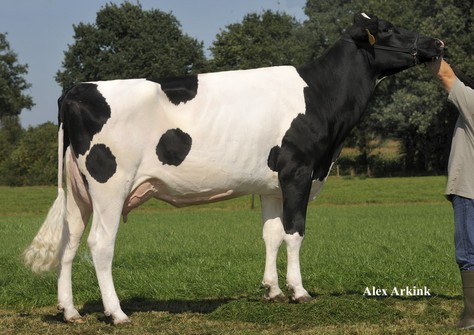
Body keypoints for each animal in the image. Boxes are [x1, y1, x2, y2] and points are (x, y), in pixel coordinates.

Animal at [23, 13, 444, 326]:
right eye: (388, 29)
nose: (437, 44)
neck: (319, 95)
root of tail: (78, 87)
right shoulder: (299, 171)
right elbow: (294, 233)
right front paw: (299, 291)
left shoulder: (272, 184)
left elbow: (271, 235)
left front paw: (272, 290)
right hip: (110, 183)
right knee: (99, 243)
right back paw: (117, 313)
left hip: (79, 190)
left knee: (69, 241)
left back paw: (71, 312)